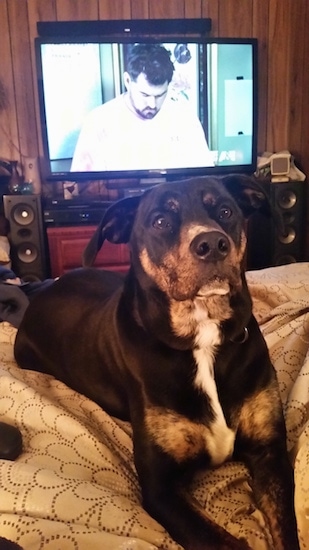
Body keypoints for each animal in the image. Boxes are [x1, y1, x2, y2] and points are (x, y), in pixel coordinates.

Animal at [14, 178, 298, 550]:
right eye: (160, 221)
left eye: (225, 211)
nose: (212, 244)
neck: (202, 339)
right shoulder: (160, 487)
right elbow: (218, 540)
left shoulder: (270, 453)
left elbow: (286, 527)